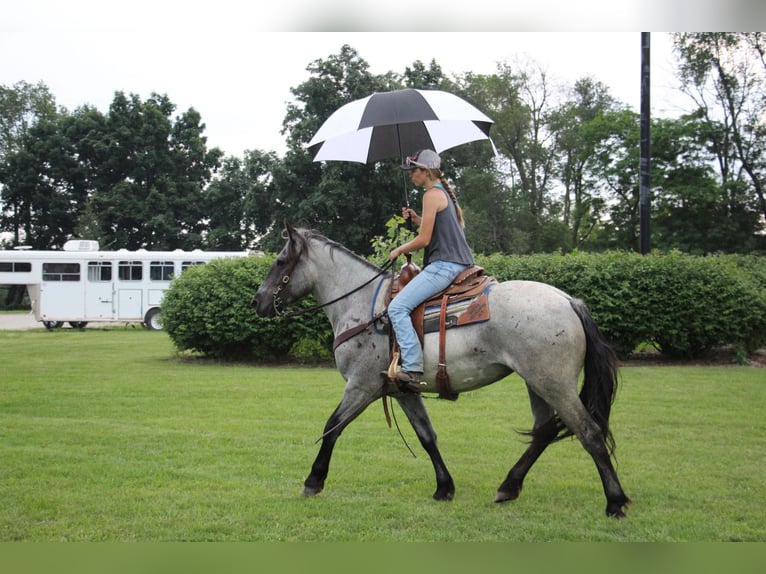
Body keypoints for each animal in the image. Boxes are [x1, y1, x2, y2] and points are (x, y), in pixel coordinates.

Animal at [255, 223, 632, 520]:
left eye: (280, 261)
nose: (257, 301)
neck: (364, 307)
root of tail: (569, 301)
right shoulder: (402, 391)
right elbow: (427, 437)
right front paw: (444, 488)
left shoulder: (361, 386)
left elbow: (332, 428)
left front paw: (313, 481)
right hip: (535, 383)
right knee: (543, 432)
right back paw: (508, 487)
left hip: (554, 384)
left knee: (588, 432)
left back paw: (615, 502)